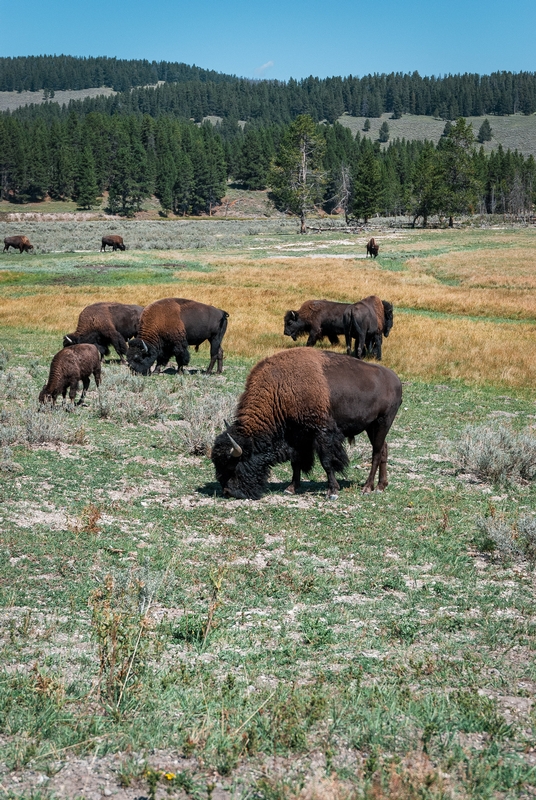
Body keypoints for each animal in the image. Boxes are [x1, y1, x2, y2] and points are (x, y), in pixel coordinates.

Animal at [211, 348, 400, 500]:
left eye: (233, 465)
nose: (228, 492)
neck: (280, 388)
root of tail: (395, 380)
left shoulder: (321, 433)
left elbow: (326, 462)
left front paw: (332, 491)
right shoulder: (296, 438)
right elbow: (296, 462)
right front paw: (291, 488)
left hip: (383, 422)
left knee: (376, 453)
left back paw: (367, 488)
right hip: (372, 427)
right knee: (383, 449)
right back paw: (381, 486)